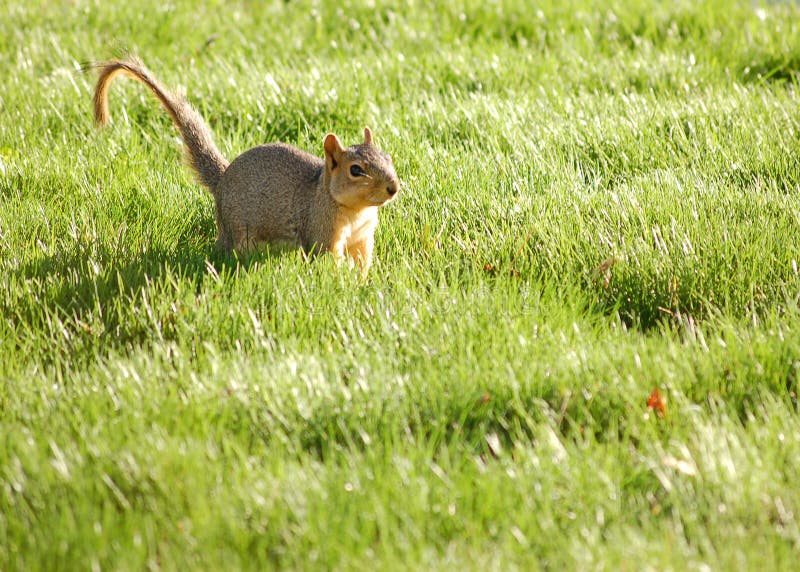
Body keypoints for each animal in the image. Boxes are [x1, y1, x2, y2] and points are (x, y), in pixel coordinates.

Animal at [90, 57, 400, 274]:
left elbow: (363, 262)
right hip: (236, 229)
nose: (393, 188)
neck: (356, 211)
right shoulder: (321, 232)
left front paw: (362, 283)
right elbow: (327, 259)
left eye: (388, 157)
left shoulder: (363, 239)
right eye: (356, 170)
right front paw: (340, 280)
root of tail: (223, 179)